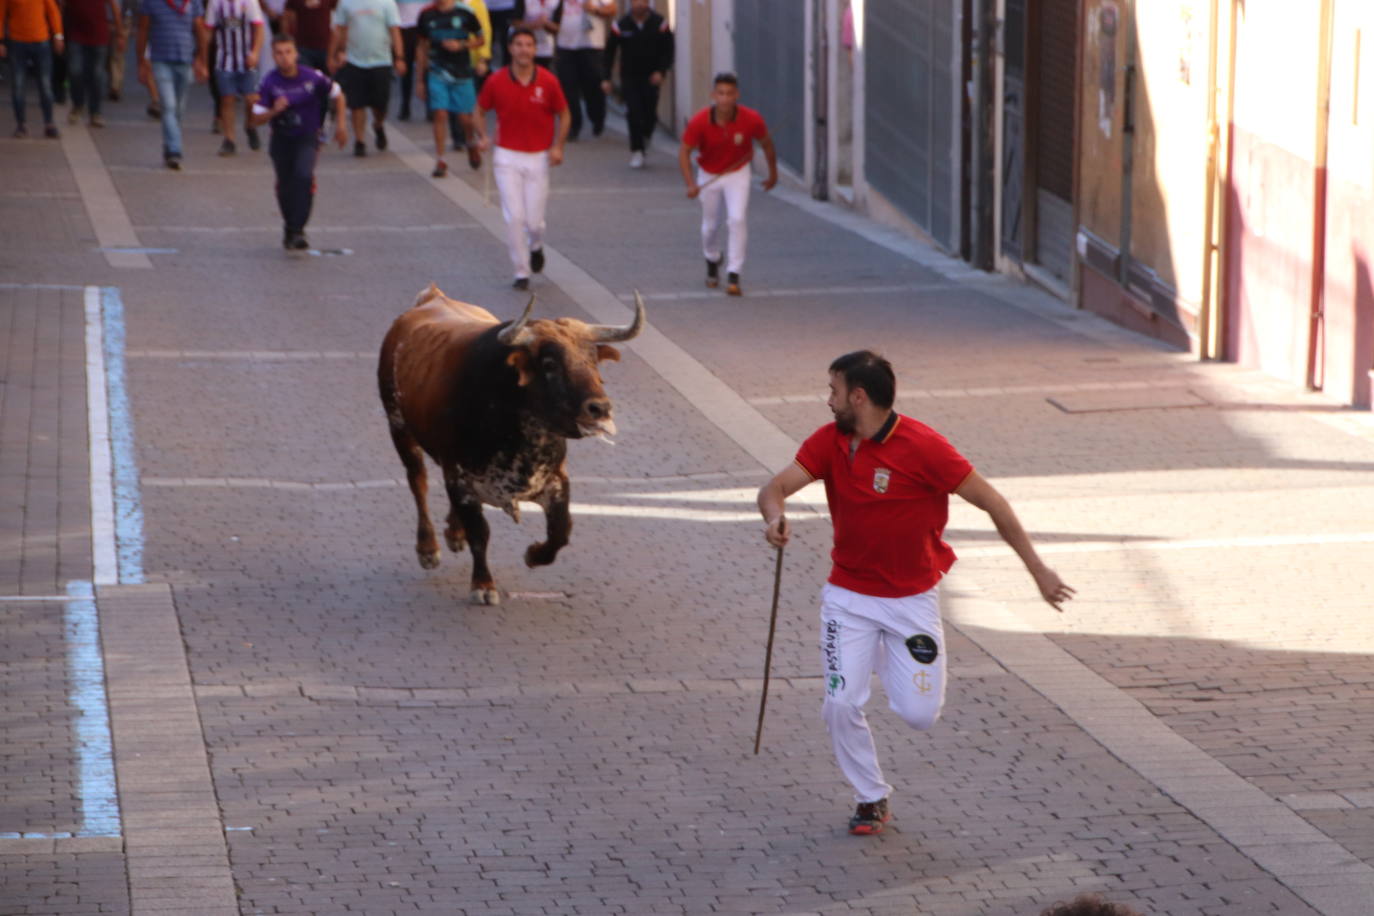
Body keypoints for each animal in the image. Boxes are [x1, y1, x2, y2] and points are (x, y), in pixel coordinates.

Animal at [376, 282, 643, 604]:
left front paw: (534, 554)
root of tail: (432, 298)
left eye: (592, 360)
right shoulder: (461, 478)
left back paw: (454, 534)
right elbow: (480, 533)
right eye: (549, 363)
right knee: (419, 482)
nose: (600, 408)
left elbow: (561, 531)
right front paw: (483, 584)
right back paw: (428, 549)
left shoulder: (555, 479)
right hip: (399, 429)